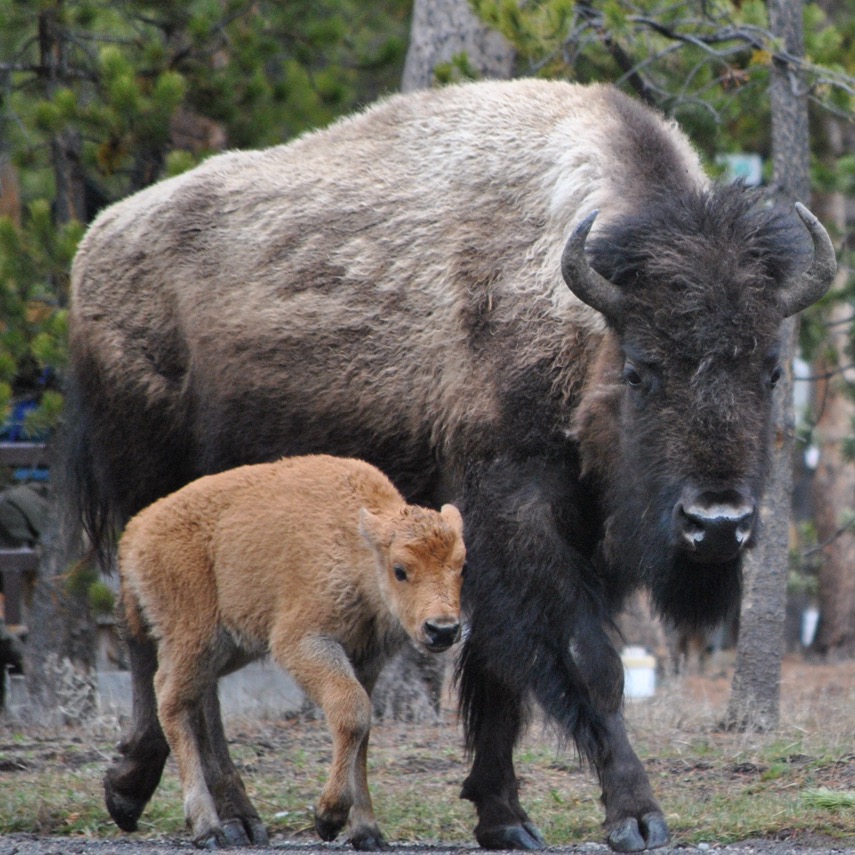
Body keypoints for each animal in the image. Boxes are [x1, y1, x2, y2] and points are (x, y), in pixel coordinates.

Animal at [65, 79, 836, 851]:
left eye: (771, 370)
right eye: (641, 370)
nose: (717, 523)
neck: (571, 313)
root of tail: (94, 243)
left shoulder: (554, 543)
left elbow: (499, 671)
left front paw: (504, 818)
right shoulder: (520, 518)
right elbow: (591, 664)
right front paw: (635, 814)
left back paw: (210, 805)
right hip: (155, 496)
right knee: (159, 646)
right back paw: (186, 802)